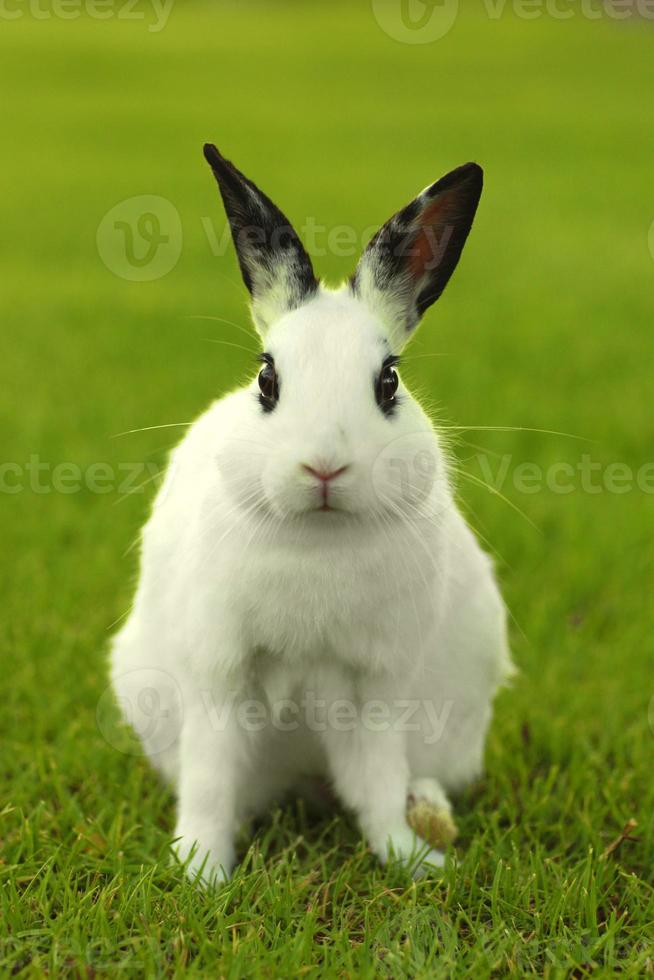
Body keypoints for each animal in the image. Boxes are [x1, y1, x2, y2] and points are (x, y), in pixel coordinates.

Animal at [110, 147, 516, 888]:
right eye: (267, 381)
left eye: (389, 382)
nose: (325, 467)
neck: (318, 538)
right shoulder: (219, 672)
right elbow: (211, 780)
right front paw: (201, 871)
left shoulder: (377, 682)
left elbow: (377, 781)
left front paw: (410, 860)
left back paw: (430, 815)